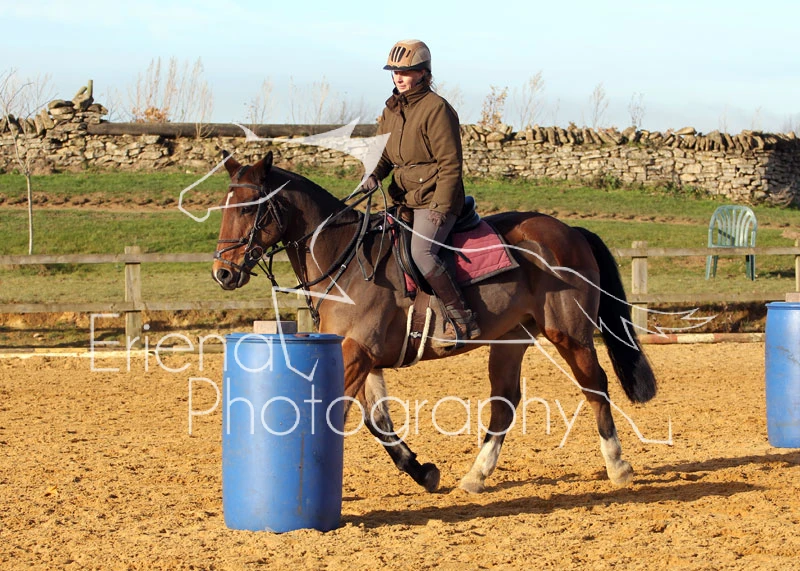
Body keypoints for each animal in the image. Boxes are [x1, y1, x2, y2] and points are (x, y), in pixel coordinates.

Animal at [212, 150, 657, 494]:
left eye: (250, 208)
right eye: (223, 207)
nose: (223, 273)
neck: (346, 260)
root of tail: (569, 232)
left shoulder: (358, 352)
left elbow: (337, 412)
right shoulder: (360, 355)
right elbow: (377, 421)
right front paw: (422, 471)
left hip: (569, 334)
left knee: (594, 386)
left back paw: (618, 466)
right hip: (510, 340)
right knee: (505, 402)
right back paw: (476, 475)